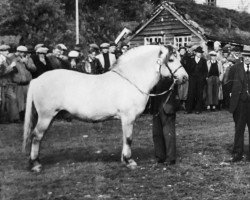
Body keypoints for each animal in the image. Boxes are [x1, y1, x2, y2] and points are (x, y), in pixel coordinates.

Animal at [23, 45, 188, 172]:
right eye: (171, 60)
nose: (185, 77)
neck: (131, 80)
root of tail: (36, 79)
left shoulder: (125, 120)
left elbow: (125, 138)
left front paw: (123, 159)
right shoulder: (128, 118)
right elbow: (129, 138)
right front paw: (129, 161)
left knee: (38, 137)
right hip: (46, 116)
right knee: (36, 136)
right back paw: (36, 165)